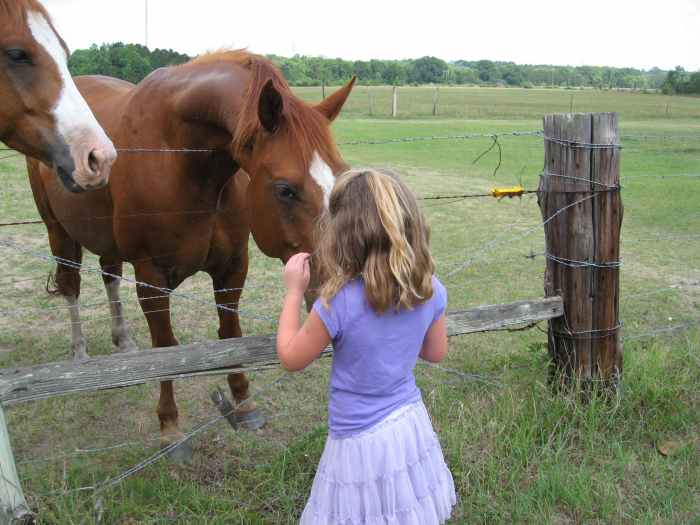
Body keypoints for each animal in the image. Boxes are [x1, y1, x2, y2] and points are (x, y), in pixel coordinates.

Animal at [27, 50, 354, 461]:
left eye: (340, 177)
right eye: (285, 190)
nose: (337, 297)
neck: (181, 158)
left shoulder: (233, 266)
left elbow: (230, 332)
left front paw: (243, 403)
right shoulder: (151, 276)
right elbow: (165, 347)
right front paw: (170, 426)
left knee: (109, 276)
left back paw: (123, 342)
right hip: (59, 231)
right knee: (71, 286)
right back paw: (80, 356)